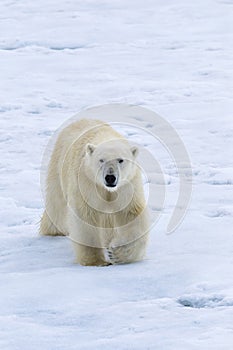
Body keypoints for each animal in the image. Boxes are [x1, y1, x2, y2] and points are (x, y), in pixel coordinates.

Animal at [40, 119, 149, 266]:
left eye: (120, 160)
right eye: (101, 160)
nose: (110, 177)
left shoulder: (127, 184)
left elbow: (131, 213)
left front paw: (116, 254)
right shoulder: (86, 182)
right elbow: (86, 217)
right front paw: (96, 261)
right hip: (58, 166)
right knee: (56, 205)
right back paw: (54, 231)